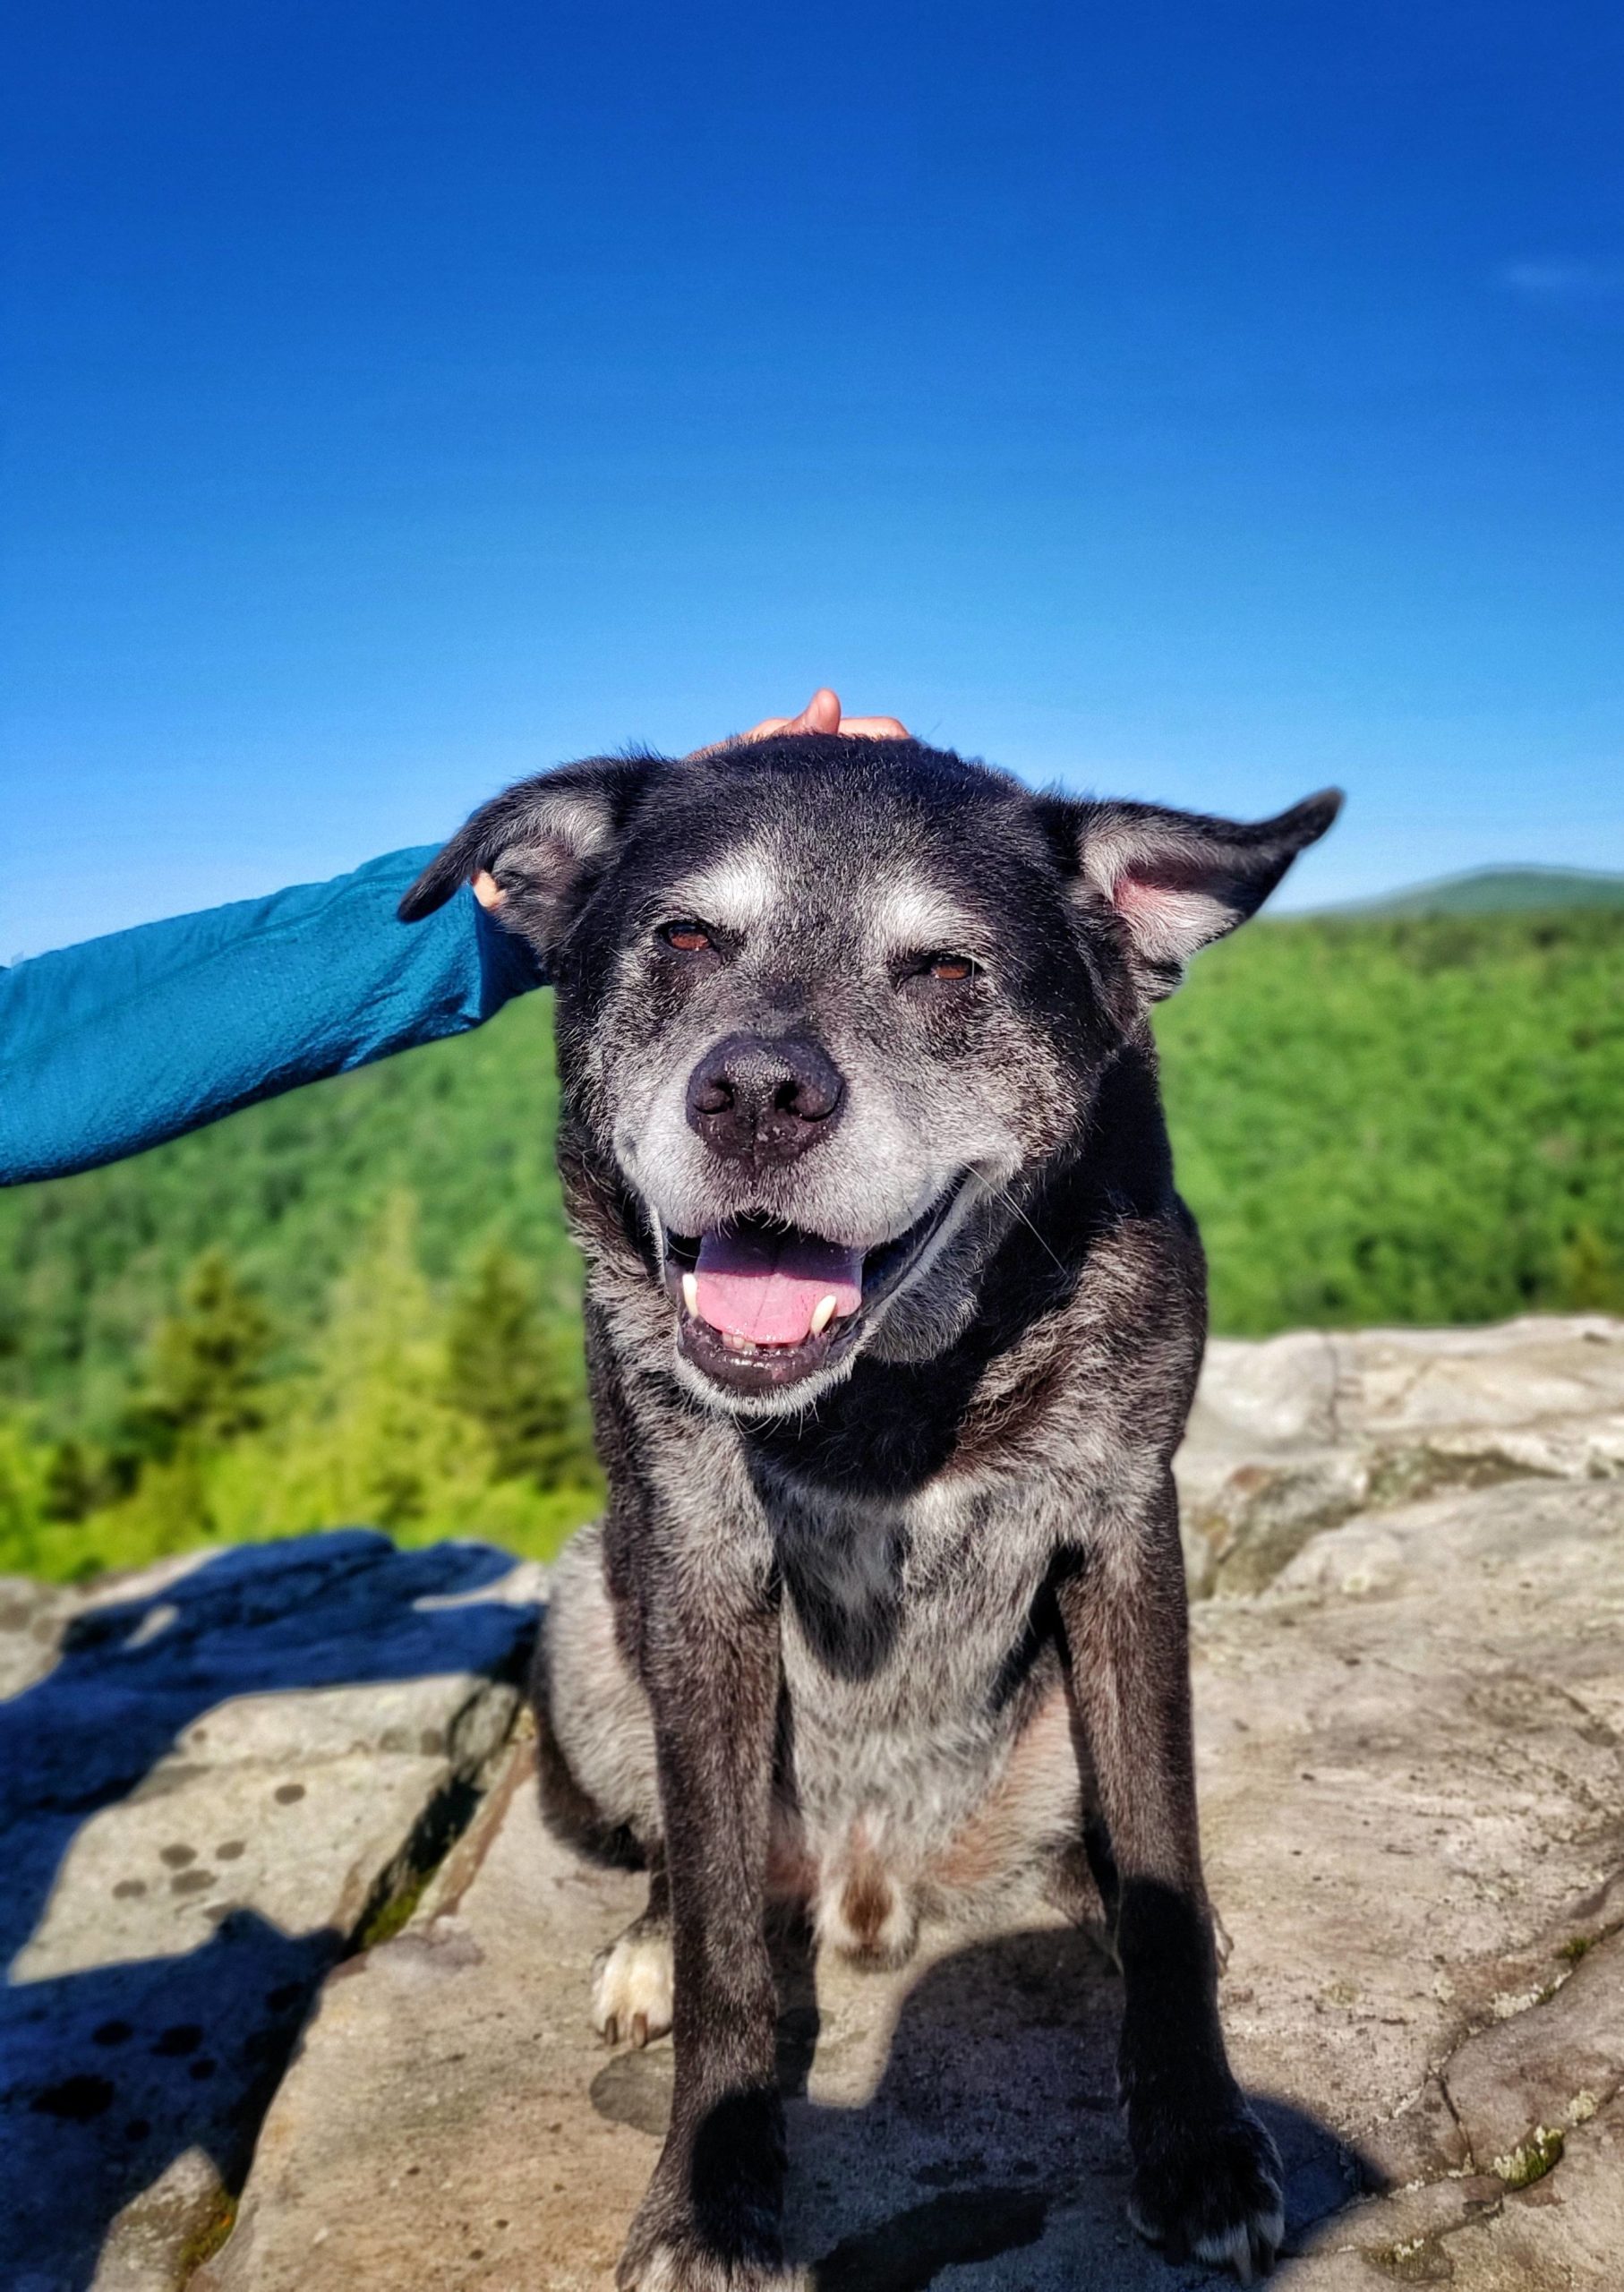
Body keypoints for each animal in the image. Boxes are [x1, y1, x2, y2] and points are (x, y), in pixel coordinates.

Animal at [398, 738, 1338, 2292]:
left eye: (946, 971)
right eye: (684, 939)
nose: (755, 1094)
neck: (901, 1398)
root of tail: (869, 1886)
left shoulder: (1123, 1545)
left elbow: (1161, 1852)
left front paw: (1194, 2136)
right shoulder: (699, 1577)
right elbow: (722, 1942)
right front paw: (710, 2199)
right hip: (592, 1609)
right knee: (681, 1856)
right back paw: (648, 1942)